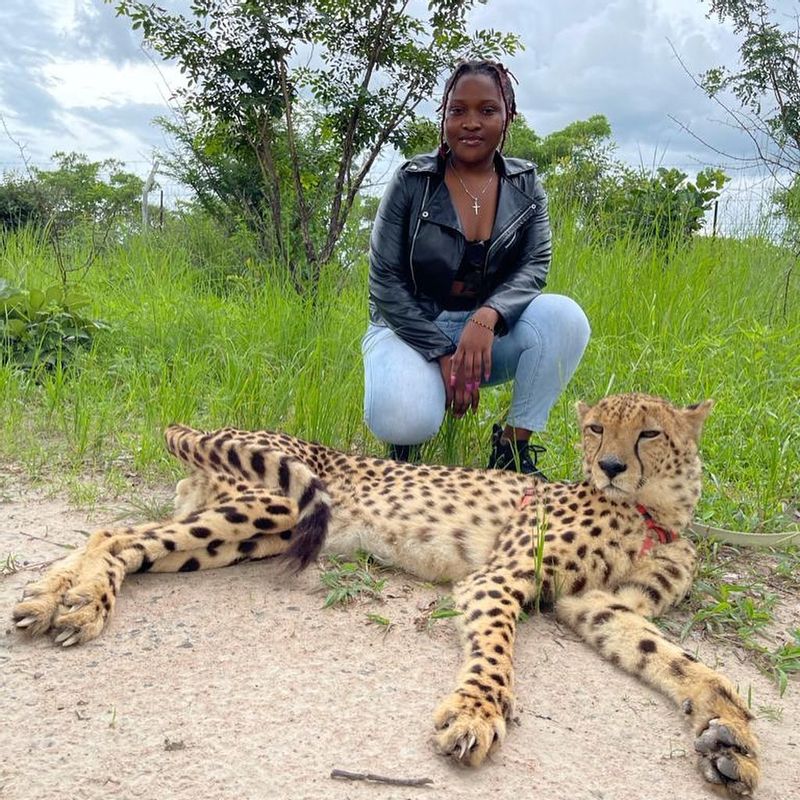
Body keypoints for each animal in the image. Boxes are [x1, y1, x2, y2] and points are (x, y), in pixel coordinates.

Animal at [15, 396, 760, 800]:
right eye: (595, 429)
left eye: (649, 432)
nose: (607, 467)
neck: (652, 513)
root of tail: (219, 427)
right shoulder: (498, 579)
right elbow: (497, 651)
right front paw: (476, 712)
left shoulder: (602, 608)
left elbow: (684, 663)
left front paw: (731, 737)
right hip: (273, 506)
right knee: (116, 533)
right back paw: (76, 602)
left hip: (254, 532)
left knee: (124, 538)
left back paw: (54, 595)